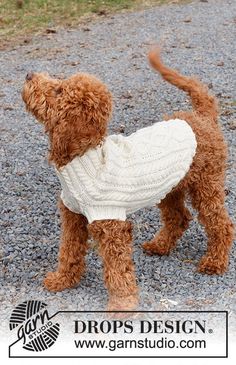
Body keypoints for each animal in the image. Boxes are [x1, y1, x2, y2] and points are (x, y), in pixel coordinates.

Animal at [22, 49, 234, 310]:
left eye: (59, 90)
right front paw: (62, 280)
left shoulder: (112, 224)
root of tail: (201, 118)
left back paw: (214, 262)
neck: (86, 157)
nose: (29, 75)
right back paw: (159, 246)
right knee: (179, 217)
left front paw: (122, 305)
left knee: (221, 224)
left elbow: (118, 268)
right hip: (170, 187)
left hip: (206, 184)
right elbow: (69, 251)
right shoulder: (73, 215)